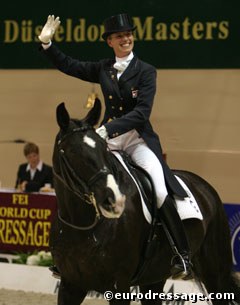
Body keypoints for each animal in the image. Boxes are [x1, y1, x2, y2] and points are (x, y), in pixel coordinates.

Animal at [49, 98, 239, 302]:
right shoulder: (70, 285)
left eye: (104, 148)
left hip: (215, 273)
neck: (82, 225)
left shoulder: (118, 286)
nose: (114, 201)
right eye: (71, 152)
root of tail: (205, 187)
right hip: (154, 278)